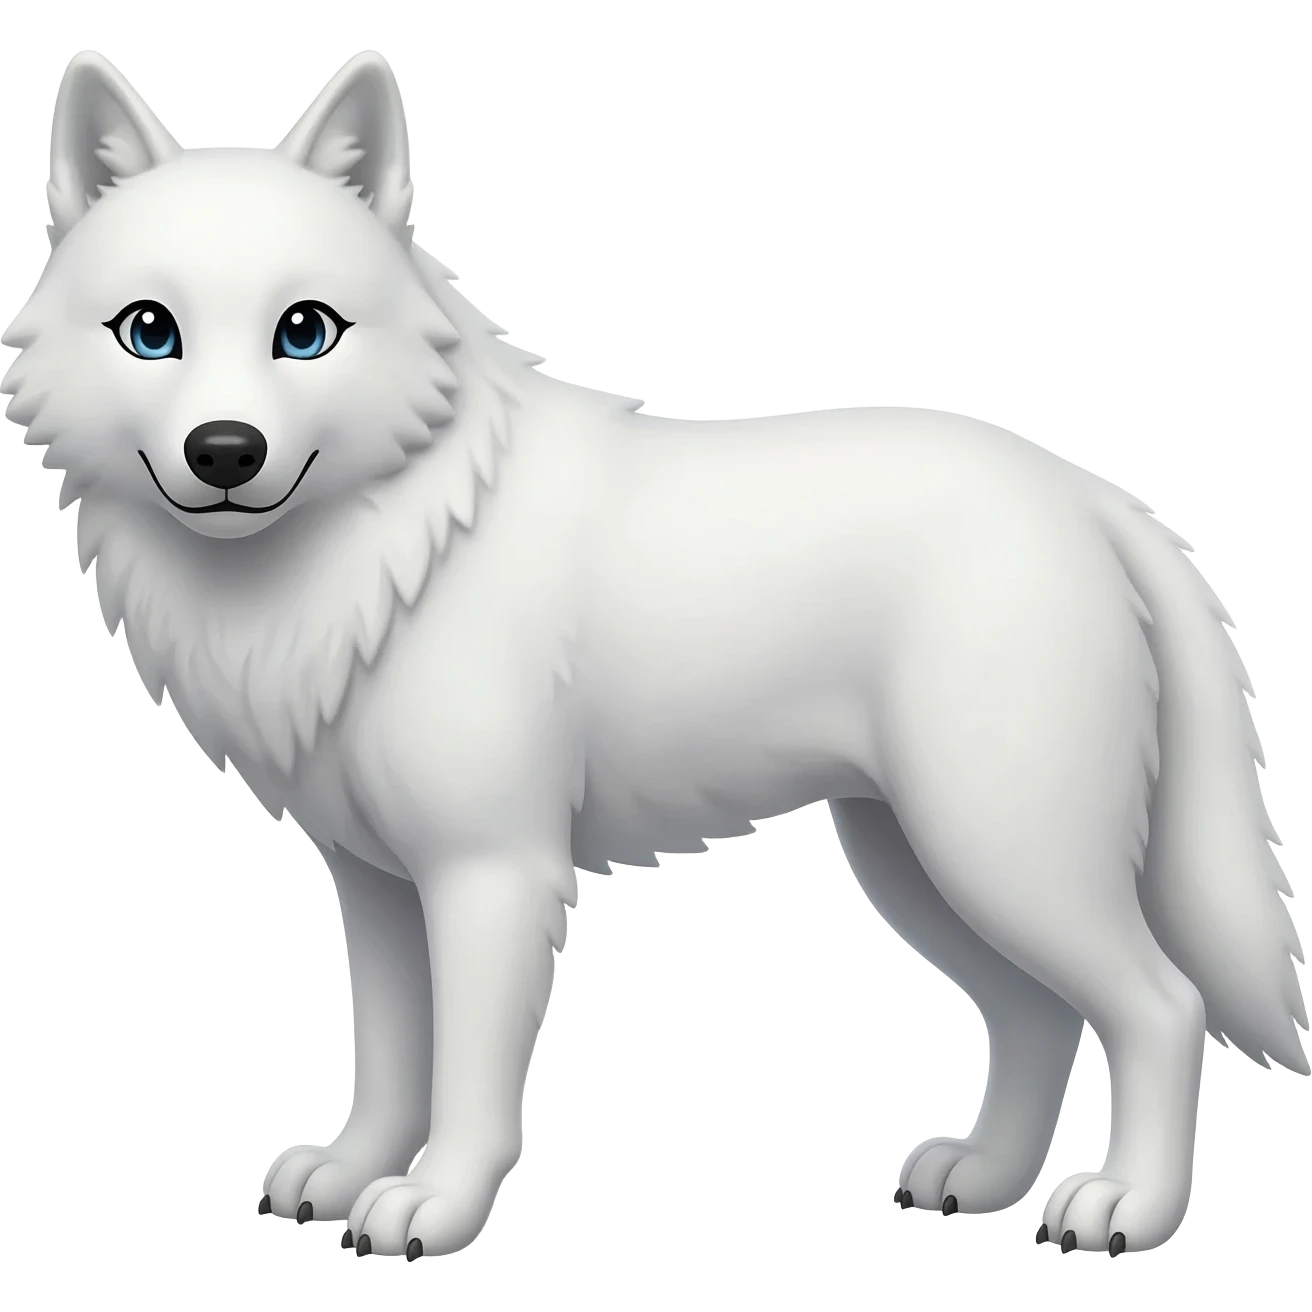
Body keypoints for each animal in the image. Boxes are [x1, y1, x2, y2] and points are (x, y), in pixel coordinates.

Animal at [4, 48, 1305, 1262]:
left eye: (304, 333)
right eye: (152, 333)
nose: (226, 451)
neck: (397, 545)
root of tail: (1090, 494)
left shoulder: (492, 874)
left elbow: (469, 1082)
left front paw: (433, 1204)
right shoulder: (374, 886)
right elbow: (388, 1056)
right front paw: (347, 1172)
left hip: (1002, 853)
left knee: (1161, 1005)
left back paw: (1126, 1207)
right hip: (917, 865)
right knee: (1038, 1015)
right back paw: (981, 1179)